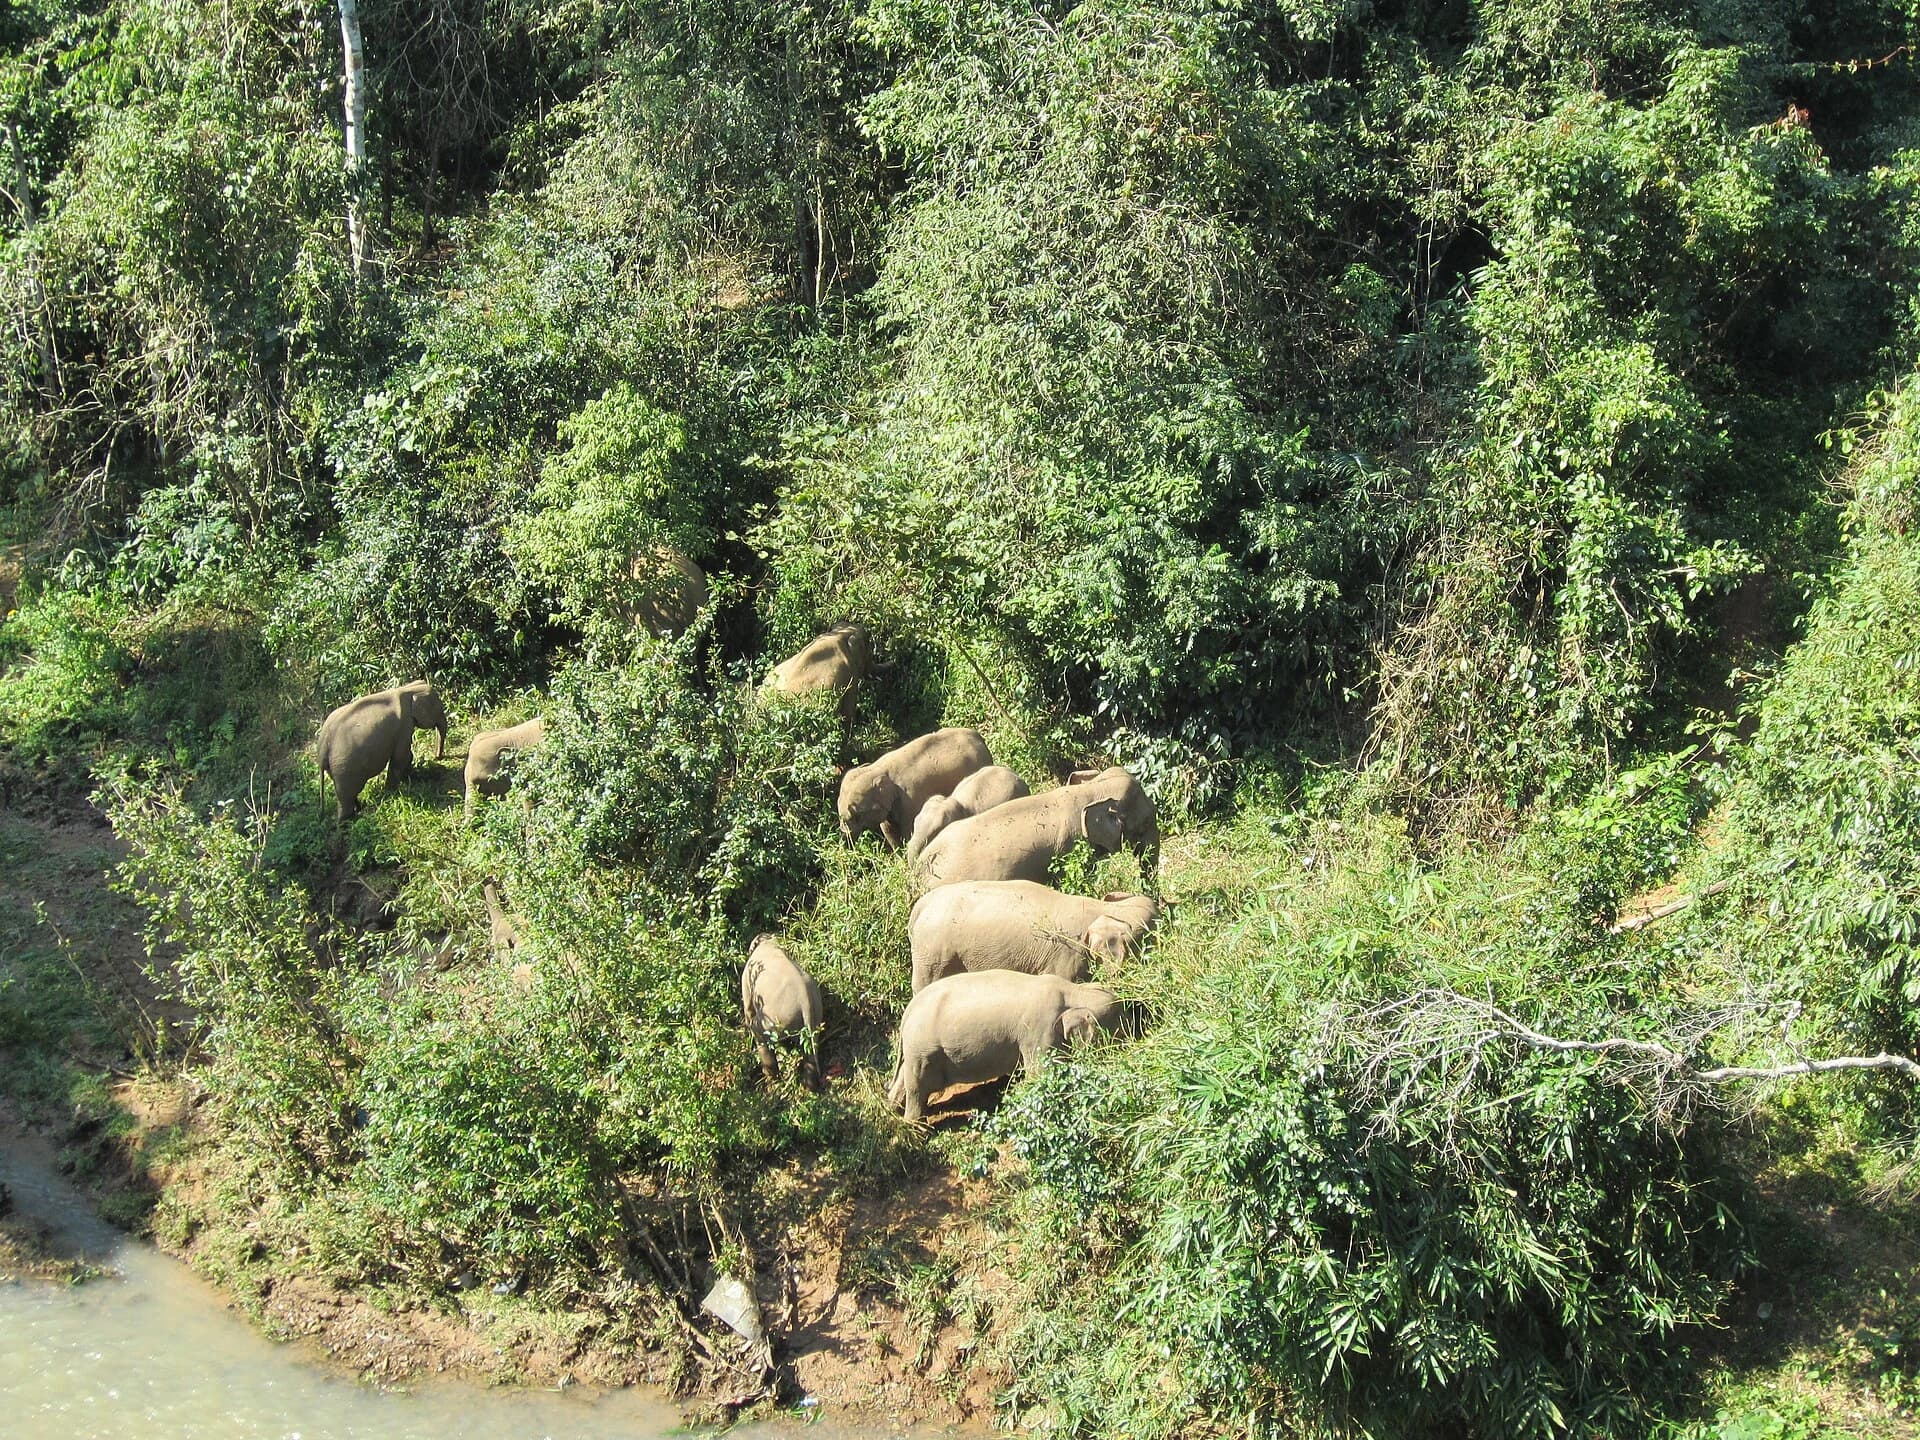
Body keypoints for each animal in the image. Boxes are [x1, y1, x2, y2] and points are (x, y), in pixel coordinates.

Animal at [316, 681, 448, 821]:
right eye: (440, 709)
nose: (437, 757)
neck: (409, 689)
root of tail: (324, 745)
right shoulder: (404, 725)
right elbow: (402, 757)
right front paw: (392, 792)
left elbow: (406, 756)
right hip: (345, 765)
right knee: (346, 796)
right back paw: (349, 820)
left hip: (335, 767)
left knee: (348, 793)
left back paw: (359, 809)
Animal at [741, 934, 825, 1088]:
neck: (769, 943)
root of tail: (805, 1001)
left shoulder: (747, 977)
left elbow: (748, 1010)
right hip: (816, 1016)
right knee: (811, 1048)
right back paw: (808, 1087)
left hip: (777, 1019)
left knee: (758, 1031)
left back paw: (771, 1078)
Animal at [837, 727, 993, 847]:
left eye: (856, 815)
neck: (878, 768)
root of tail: (980, 738)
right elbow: (888, 829)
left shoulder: (910, 800)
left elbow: (908, 830)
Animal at [886, 971, 1122, 1121]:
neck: (1073, 991)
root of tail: (909, 1010)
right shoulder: (1039, 1031)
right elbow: (1039, 1074)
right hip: (924, 1048)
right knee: (917, 1087)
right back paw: (914, 1125)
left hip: (916, 1050)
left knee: (903, 1079)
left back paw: (892, 1110)